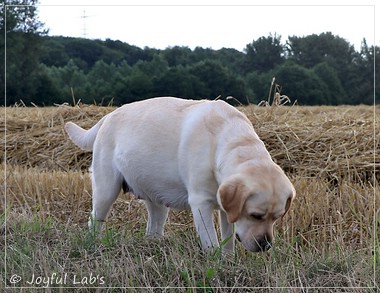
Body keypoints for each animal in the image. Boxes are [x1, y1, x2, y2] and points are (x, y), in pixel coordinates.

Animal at [65, 97, 296, 252]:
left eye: (277, 217)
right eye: (256, 215)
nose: (265, 245)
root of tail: (107, 116)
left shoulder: (226, 208)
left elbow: (228, 240)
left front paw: (229, 262)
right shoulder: (201, 203)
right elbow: (212, 242)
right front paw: (217, 264)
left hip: (156, 196)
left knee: (154, 225)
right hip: (106, 189)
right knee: (94, 219)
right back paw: (93, 243)